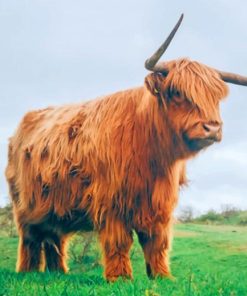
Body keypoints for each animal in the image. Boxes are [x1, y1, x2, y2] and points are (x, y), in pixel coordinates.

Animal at [4, 14, 247, 282]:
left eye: (216, 97)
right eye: (176, 92)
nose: (212, 128)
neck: (153, 156)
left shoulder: (159, 205)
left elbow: (156, 242)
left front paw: (162, 276)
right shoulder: (111, 202)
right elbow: (119, 241)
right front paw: (120, 278)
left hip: (55, 207)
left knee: (54, 238)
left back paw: (58, 273)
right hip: (25, 207)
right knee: (30, 239)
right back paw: (28, 272)